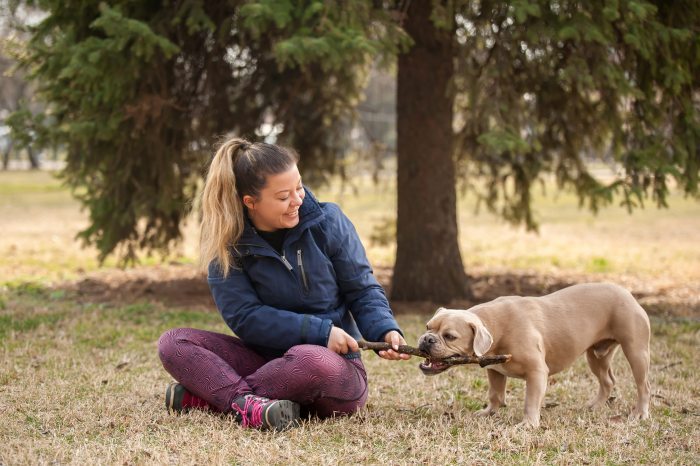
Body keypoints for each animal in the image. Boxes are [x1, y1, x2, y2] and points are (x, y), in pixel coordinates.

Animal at [416, 282, 652, 428]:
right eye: (427, 327)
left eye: (450, 336)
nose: (427, 339)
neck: (494, 325)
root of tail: (627, 293)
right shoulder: (495, 371)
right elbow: (495, 394)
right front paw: (488, 412)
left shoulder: (537, 372)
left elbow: (530, 400)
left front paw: (528, 424)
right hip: (596, 356)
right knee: (607, 380)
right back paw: (594, 406)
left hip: (636, 352)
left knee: (643, 386)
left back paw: (640, 413)